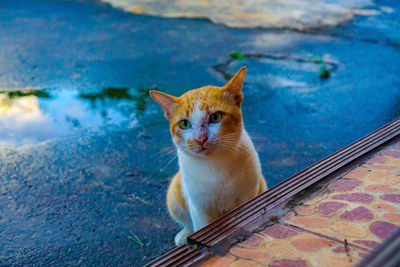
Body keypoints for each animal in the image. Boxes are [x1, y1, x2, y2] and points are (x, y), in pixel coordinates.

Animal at [152, 67, 268, 247]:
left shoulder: (248, 196)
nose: (200, 138)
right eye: (184, 124)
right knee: (187, 222)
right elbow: (201, 228)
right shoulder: (199, 206)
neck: (215, 165)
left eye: (215, 117)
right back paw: (184, 235)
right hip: (174, 195)